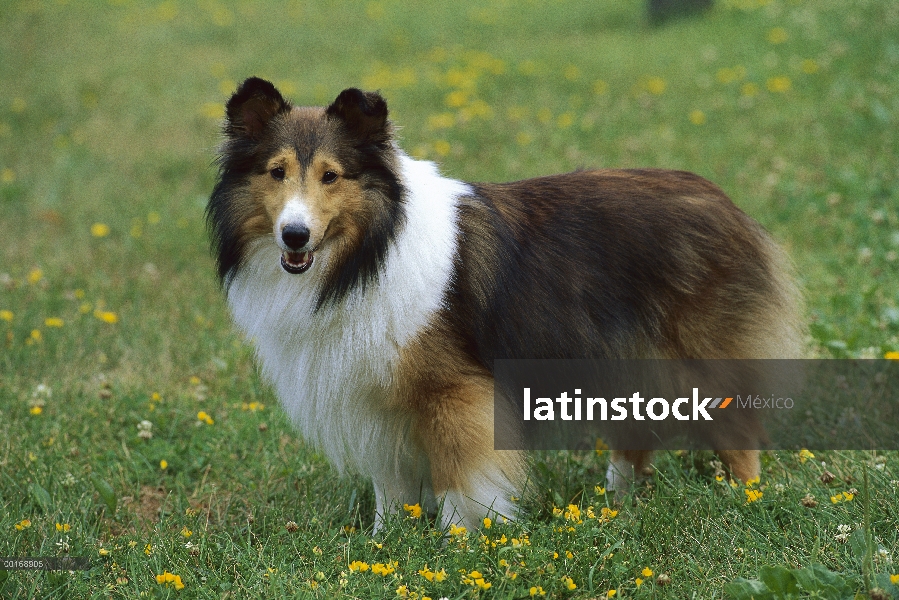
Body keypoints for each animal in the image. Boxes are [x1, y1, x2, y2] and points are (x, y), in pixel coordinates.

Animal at [209, 78, 800, 528]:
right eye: (277, 172)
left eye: (330, 176)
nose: (294, 236)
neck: (367, 252)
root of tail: (725, 203)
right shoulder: (372, 394)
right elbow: (389, 486)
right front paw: (384, 543)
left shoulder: (454, 393)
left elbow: (459, 477)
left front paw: (459, 542)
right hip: (626, 357)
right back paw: (615, 504)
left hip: (701, 358)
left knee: (737, 437)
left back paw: (742, 501)